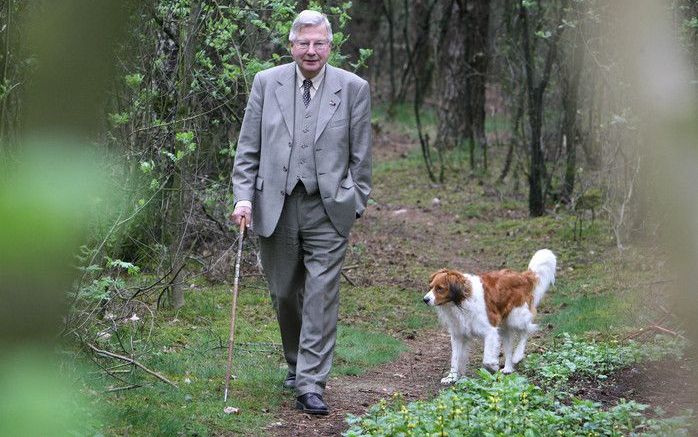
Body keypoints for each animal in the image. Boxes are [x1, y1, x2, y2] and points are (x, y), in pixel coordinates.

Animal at [422, 247, 552, 384]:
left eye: (440, 288)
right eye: (431, 287)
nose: (425, 300)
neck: (461, 301)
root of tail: (523, 276)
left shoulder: (490, 331)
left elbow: (487, 359)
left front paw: (493, 366)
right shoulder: (458, 334)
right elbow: (455, 358)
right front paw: (451, 377)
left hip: (516, 317)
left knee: (526, 331)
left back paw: (518, 355)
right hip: (504, 327)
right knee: (509, 347)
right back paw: (508, 368)